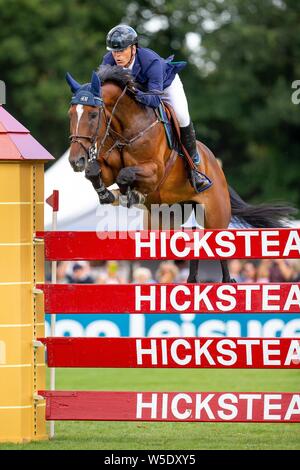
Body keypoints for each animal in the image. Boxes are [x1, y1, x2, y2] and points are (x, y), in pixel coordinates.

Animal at [66, 66, 296, 282]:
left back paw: (227, 281)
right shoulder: (106, 168)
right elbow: (94, 172)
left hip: (215, 217)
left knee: (219, 249)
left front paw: (131, 193)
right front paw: (109, 194)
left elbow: (125, 174)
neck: (125, 130)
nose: (75, 160)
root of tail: (217, 168)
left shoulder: (154, 172)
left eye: (93, 114)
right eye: (71, 114)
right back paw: (192, 280)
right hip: (169, 216)